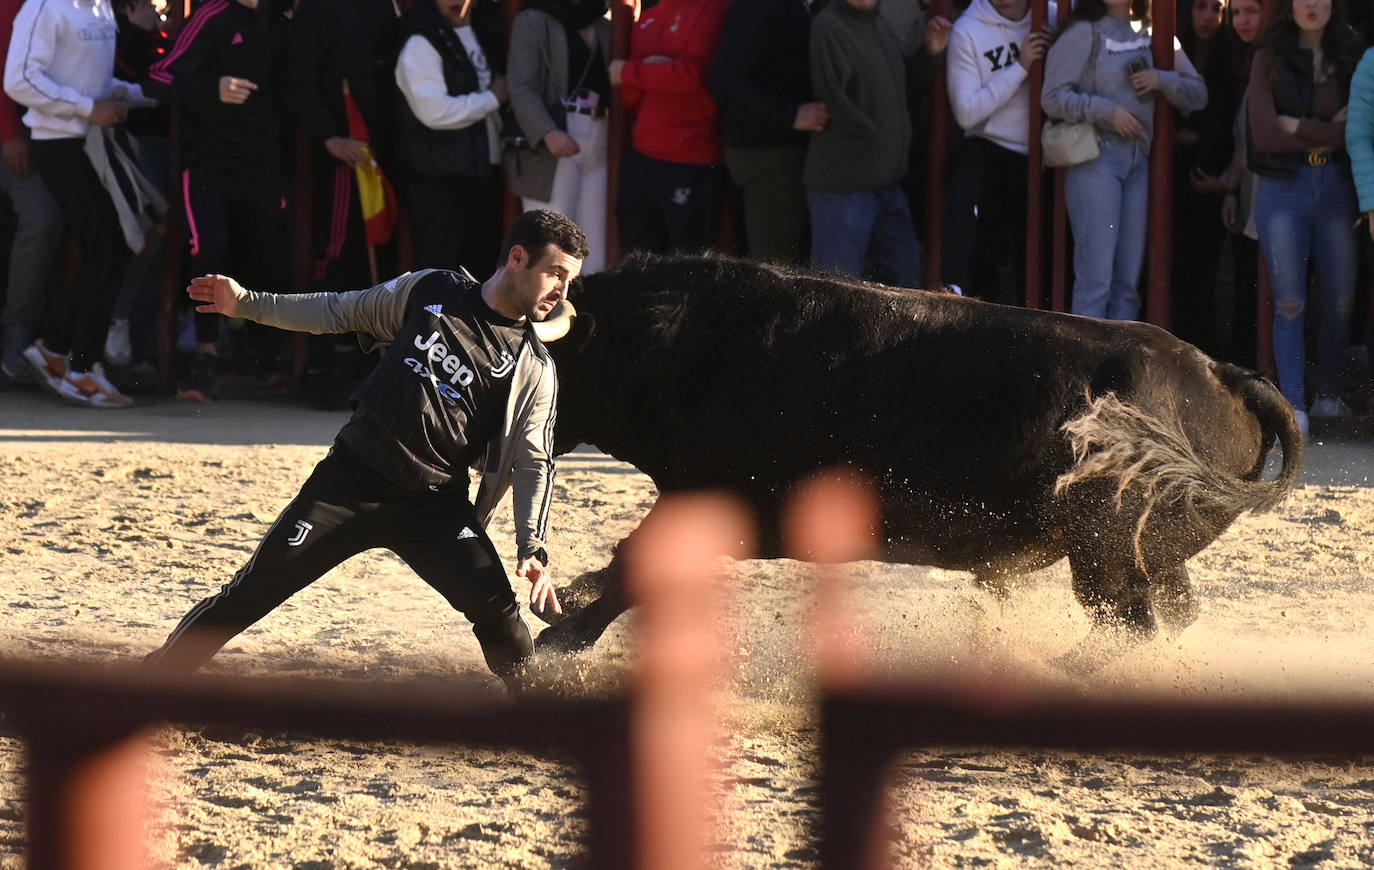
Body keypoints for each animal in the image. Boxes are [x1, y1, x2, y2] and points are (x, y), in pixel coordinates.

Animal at [530, 254, 1302, 667]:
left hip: (1104, 552)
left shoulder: (728, 507)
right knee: (1168, 615)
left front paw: (559, 635)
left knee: (1128, 624)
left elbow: (637, 566)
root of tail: (1223, 374)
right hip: (1143, 555)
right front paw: (566, 607)